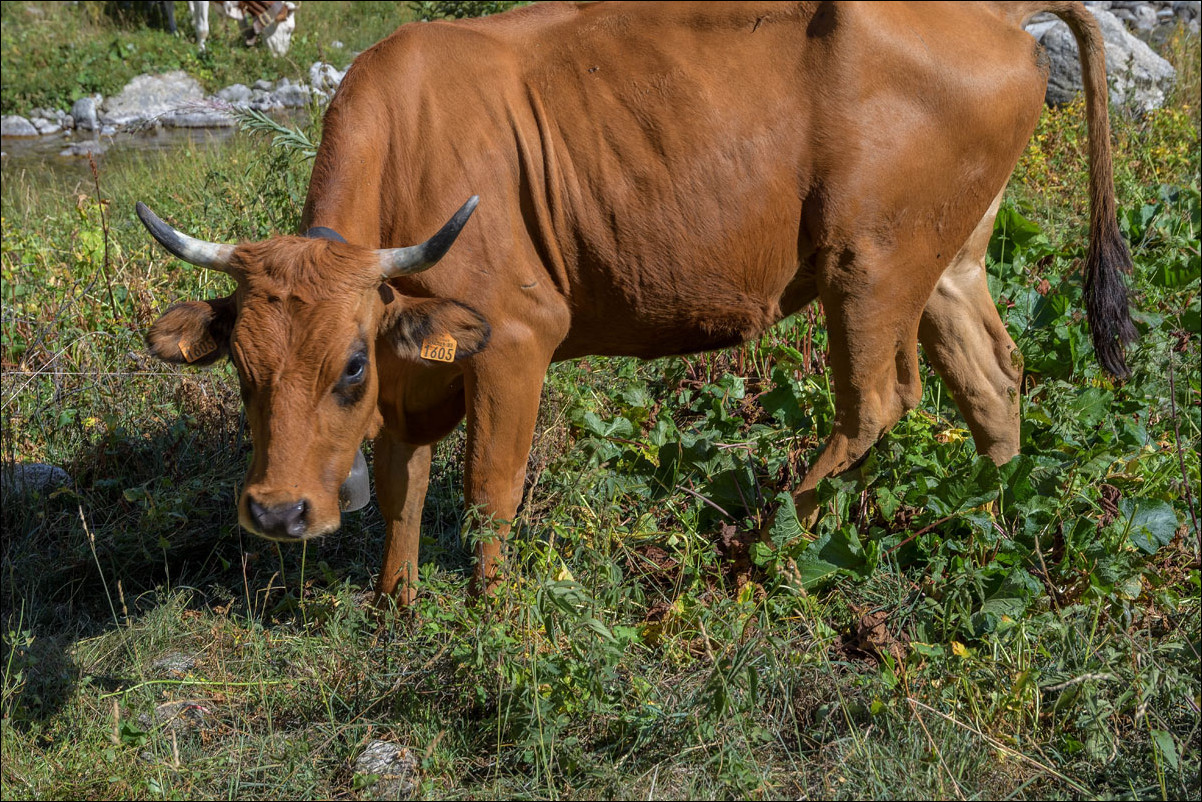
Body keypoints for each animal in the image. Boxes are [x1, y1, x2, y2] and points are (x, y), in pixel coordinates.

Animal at [138, 0, 1134, 601]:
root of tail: (992, 13)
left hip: (870, 264)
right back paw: (989, 530)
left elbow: (488, 490)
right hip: (949, 258)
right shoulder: (416, 363)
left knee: (880, 403)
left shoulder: (514, 340)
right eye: (241, 369)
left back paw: (768, 552)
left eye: (347, 366)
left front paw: (487, 615)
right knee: (992, 382)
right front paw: (395, 607)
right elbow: (398, 484)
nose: (277, 514)